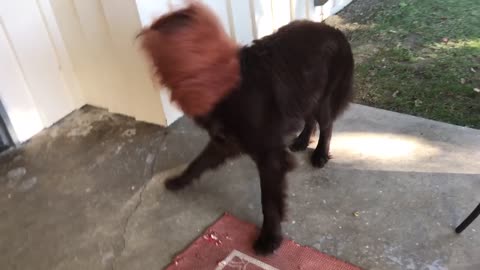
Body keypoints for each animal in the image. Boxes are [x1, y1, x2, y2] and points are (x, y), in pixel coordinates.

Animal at [139, 2, 352, 255]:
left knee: (326, 125)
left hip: (323, 99)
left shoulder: (269, 156)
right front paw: (180, 180)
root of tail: (335, 31)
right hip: (306, 94)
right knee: (309, 119)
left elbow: (269, 202)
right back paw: (301, 141)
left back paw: (319, 154)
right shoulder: (225, 141)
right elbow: (198, 163)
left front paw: (270, 237)